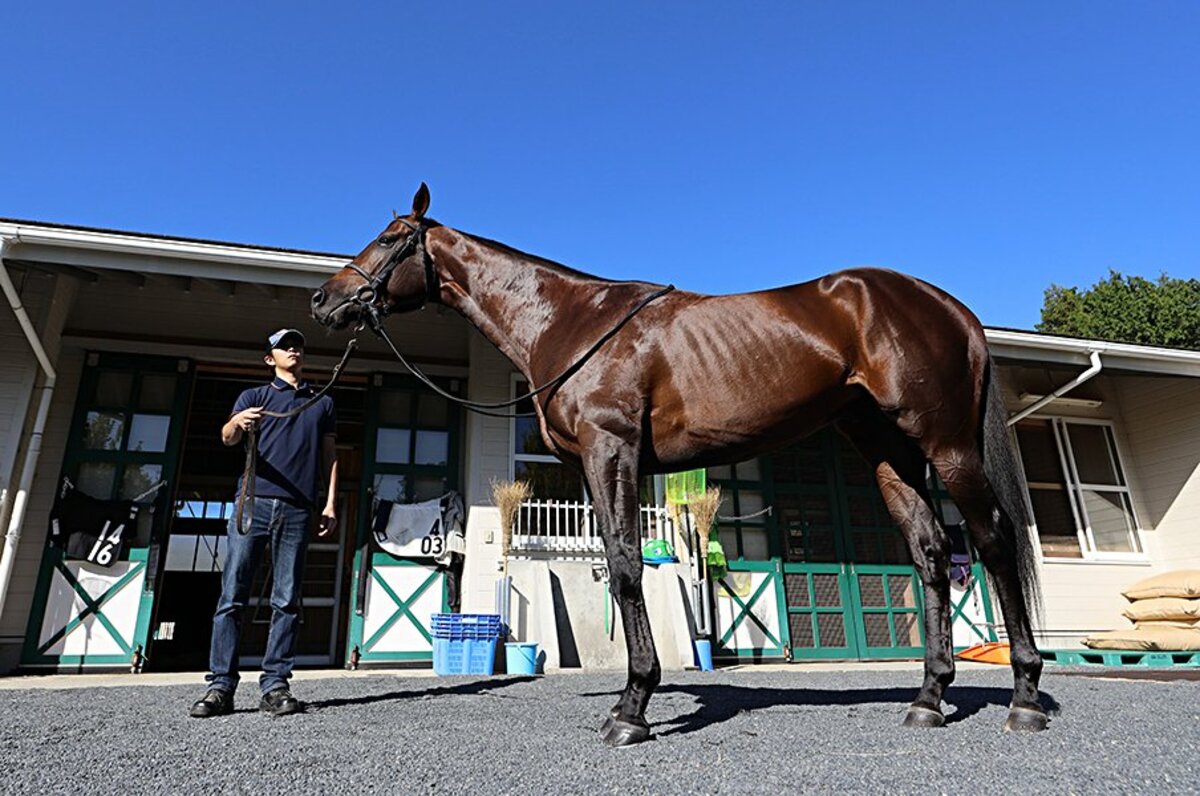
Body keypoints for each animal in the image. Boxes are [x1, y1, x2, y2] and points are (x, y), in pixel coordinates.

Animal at [312, 183, 1051, 744]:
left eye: (390, 237)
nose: (324, 300)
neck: (571, 320)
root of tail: (950, 307)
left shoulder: (611, 449)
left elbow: (624, 566)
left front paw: (632, 708)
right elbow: (623, 564)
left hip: (947, 446)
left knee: (993, 542)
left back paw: (1024, 695)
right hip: (890, 453)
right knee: (932, 554)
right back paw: (928, 698)